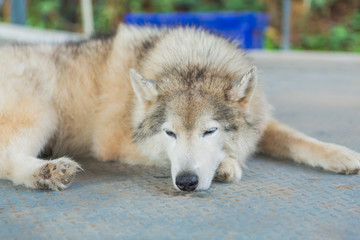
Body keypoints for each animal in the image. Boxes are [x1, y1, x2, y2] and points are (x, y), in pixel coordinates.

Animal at [0, 24, 358, 191]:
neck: (190, 61)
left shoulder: (260, 119)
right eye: (169, 133)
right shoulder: (113, 143)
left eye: (210, 130)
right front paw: (227, 165)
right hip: (43, 112)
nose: (186, 182)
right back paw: (46, 173)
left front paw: (341, 155)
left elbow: (298, 139)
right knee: (7, 159)